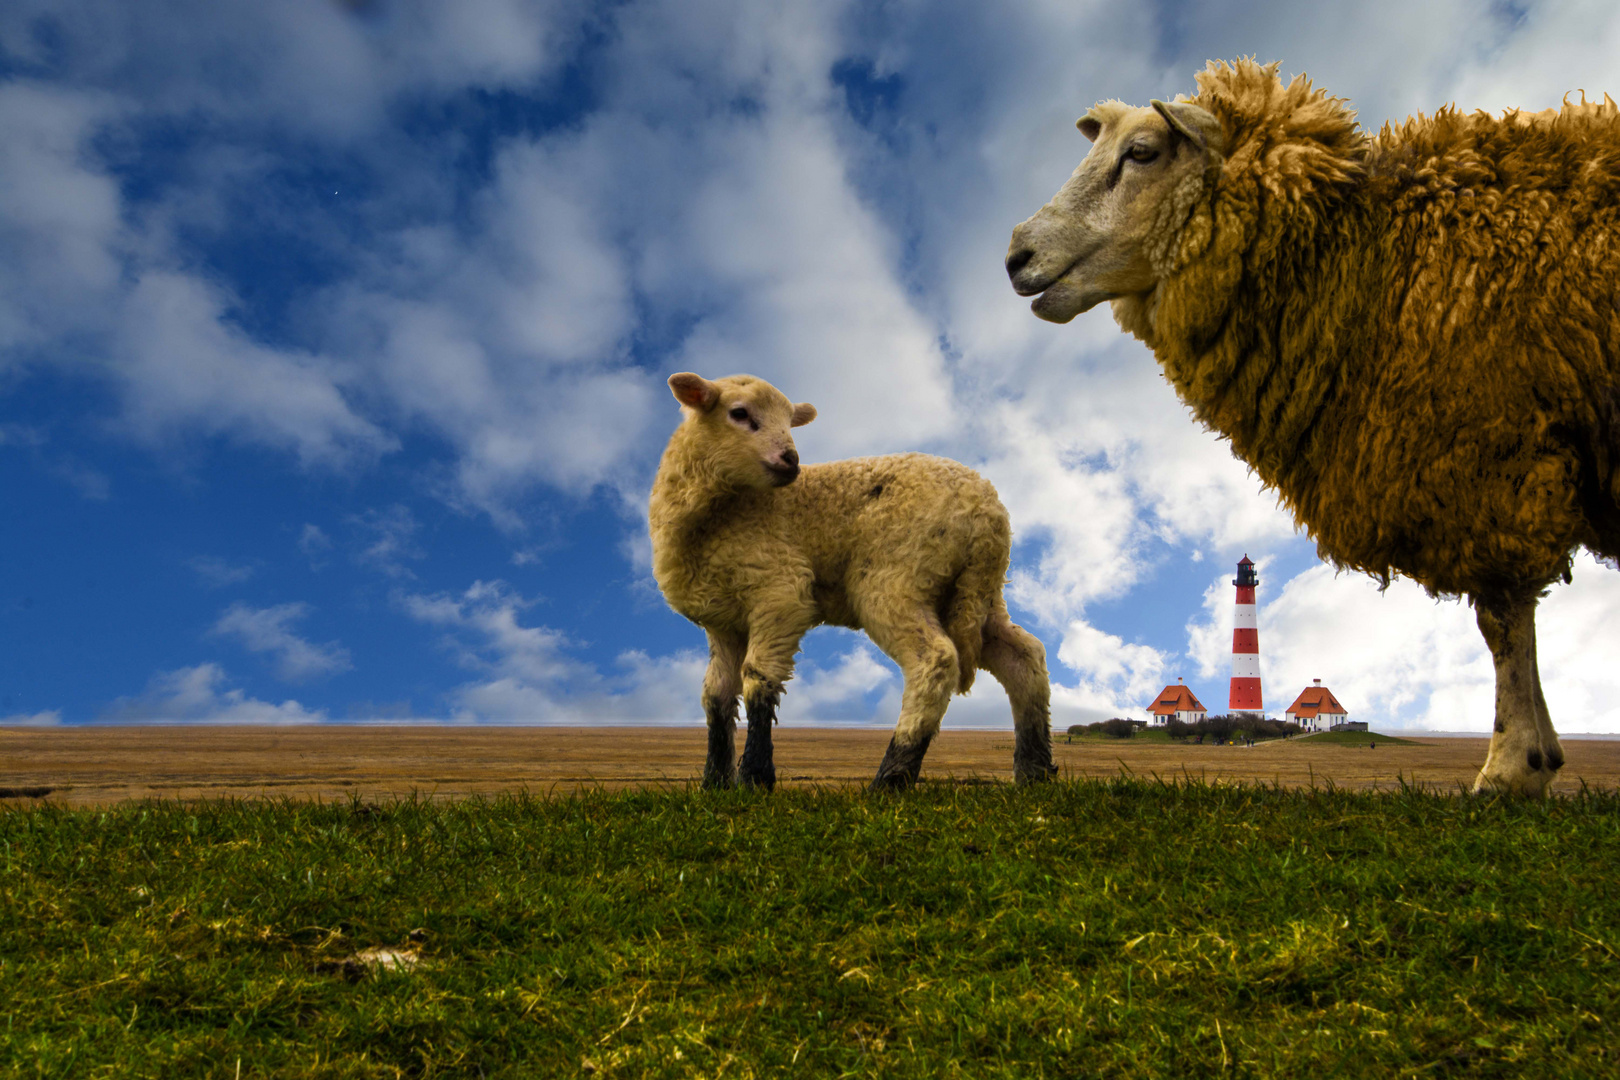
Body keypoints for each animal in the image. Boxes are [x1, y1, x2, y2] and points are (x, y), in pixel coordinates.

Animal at [651, 374, 1056, 793]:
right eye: (739, 413)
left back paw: (891, 778)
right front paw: (714, 783)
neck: (717, 515)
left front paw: (755, 778)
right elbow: (716, 695)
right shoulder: (723, 620)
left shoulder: (780, 593)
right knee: (1023, 658)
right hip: (975, 594)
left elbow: (758, 680)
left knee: (937, 661)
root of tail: (987, 511)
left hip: (896, 580)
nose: (791, 460)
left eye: (790, 422)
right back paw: (1034, 772)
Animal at [997, 61, 1620, 803]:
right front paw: (1538, 756)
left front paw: (1512, 766)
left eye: (1142, 153)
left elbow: (1500, 616)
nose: (1016, 254)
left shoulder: (1490, 450)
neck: (1371, 257)